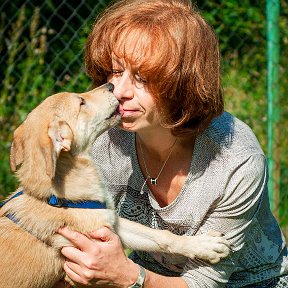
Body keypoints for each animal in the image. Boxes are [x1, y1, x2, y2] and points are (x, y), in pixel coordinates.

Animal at [0, 82, 230, 286]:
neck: (56, 198)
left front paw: (205, 246)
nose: (111, 85)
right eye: (81, 102)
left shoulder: (112, 224)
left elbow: (161, 236)